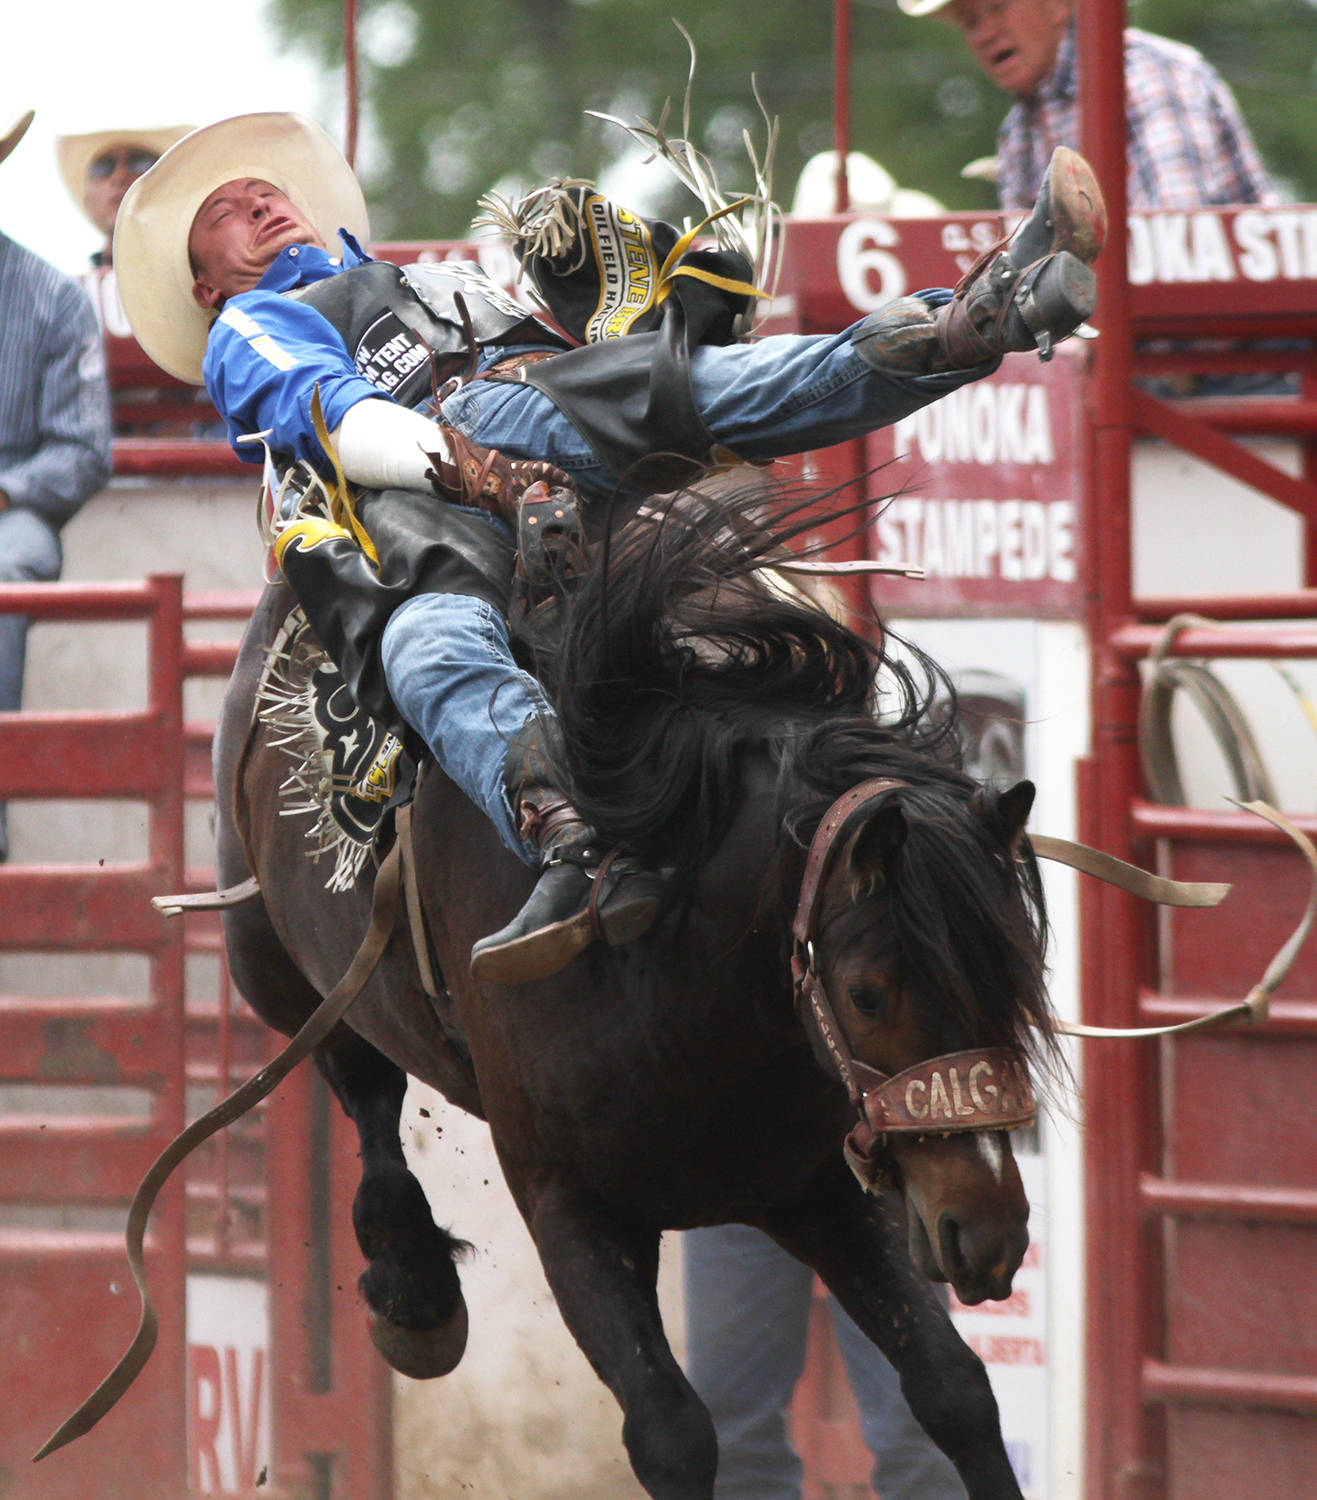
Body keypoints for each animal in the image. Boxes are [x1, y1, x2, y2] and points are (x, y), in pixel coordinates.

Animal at [214, 480, 1062, 1500]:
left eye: (1018, 975)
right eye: (865, 993)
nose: (987, 1227)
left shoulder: (820, 1186)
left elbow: (952, 1388)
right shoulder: (569, 1202)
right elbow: (671, 1433)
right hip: (282, 973)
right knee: (365, 1095)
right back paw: (414, 1293)